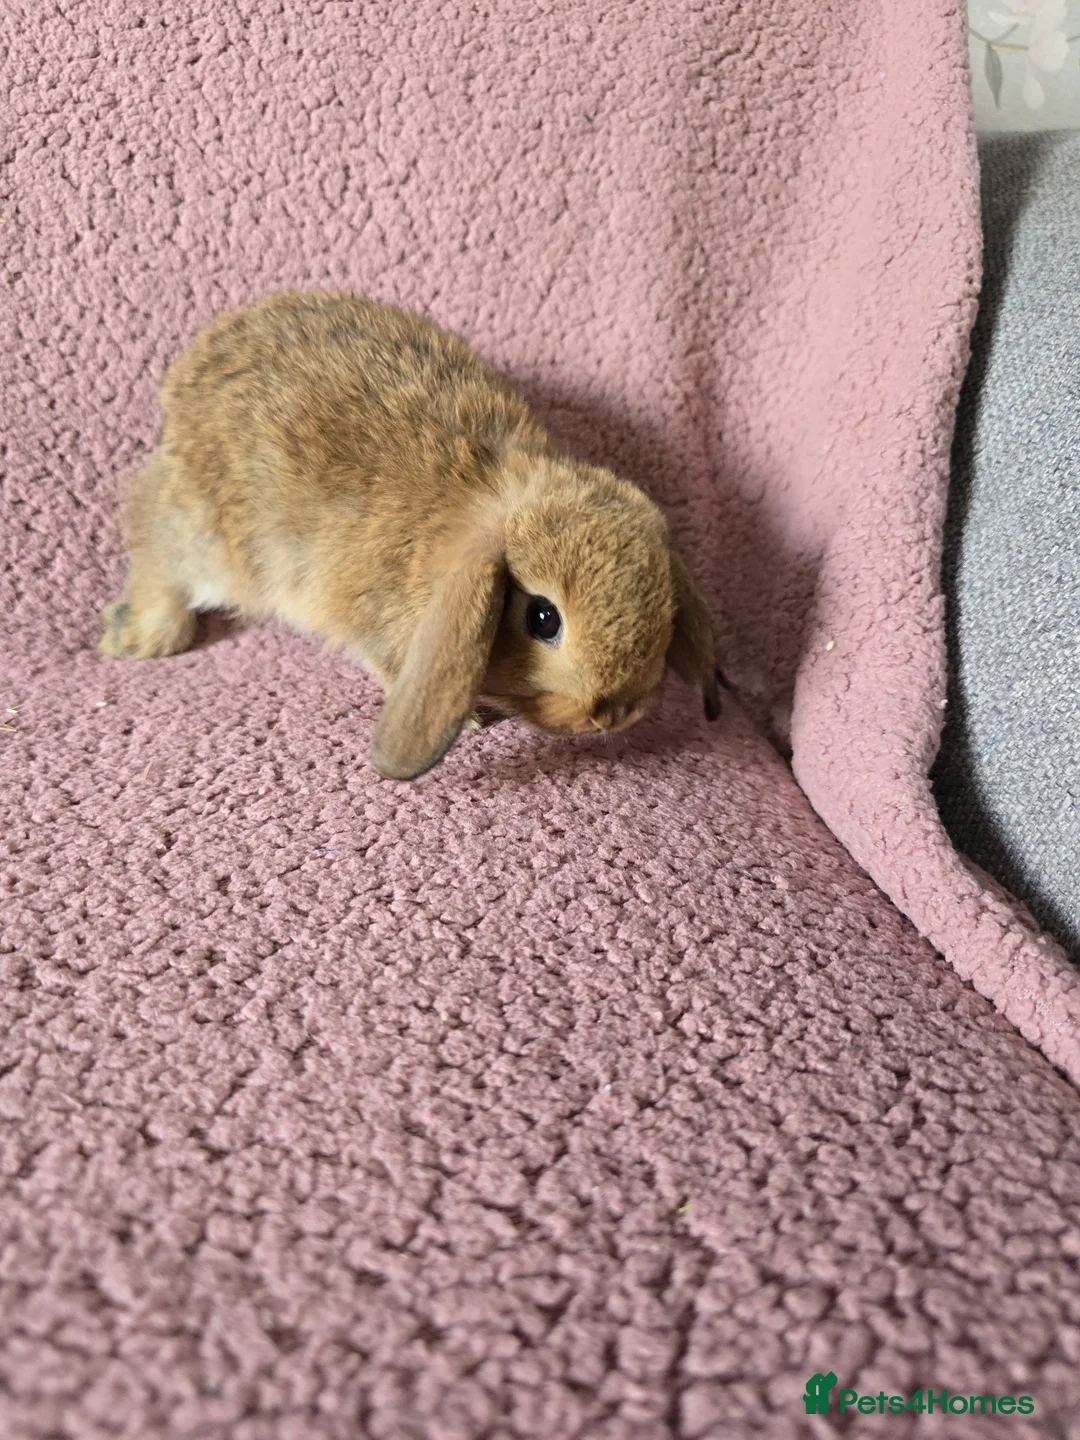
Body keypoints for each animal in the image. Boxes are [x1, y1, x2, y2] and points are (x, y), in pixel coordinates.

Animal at [100, 291, 721, 779]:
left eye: (665, 610)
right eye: (543, 618)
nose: (611, 713)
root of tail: (185, 378)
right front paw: (472, 720)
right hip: (205, 536)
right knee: (156, 553)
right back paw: (137, 636)